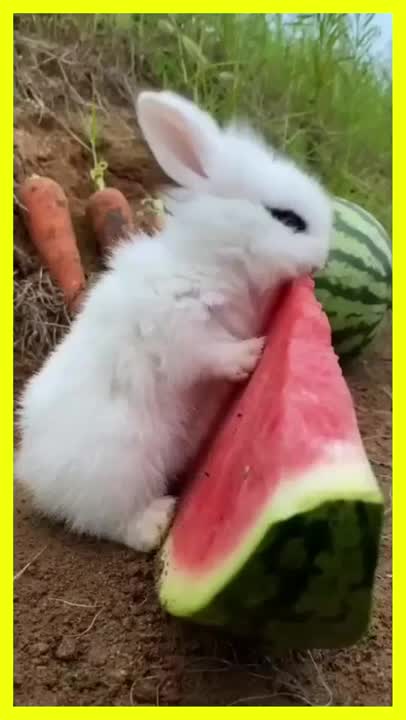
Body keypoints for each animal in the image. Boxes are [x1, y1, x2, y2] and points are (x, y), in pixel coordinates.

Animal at [15, 90, 333, 553]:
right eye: (288, 218)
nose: (325, 257)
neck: (215, 260)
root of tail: (33, 474)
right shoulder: (176, 323)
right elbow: (207, 351)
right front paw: (249, 355)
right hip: (124, 465)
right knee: (109, 522)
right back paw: (157, 521)